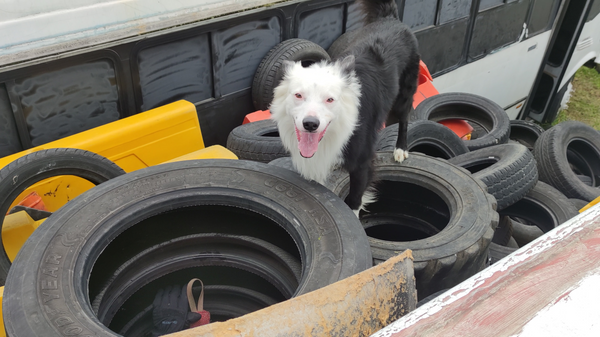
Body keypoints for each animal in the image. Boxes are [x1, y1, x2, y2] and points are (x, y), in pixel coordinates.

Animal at [270, 0, 418, 215]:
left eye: (330, 99)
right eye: (298, 95)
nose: (310, 124)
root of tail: (390, 19)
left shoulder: (362, 162)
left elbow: (354, 201)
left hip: (404, 93)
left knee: (404, 118)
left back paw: (401, 148)